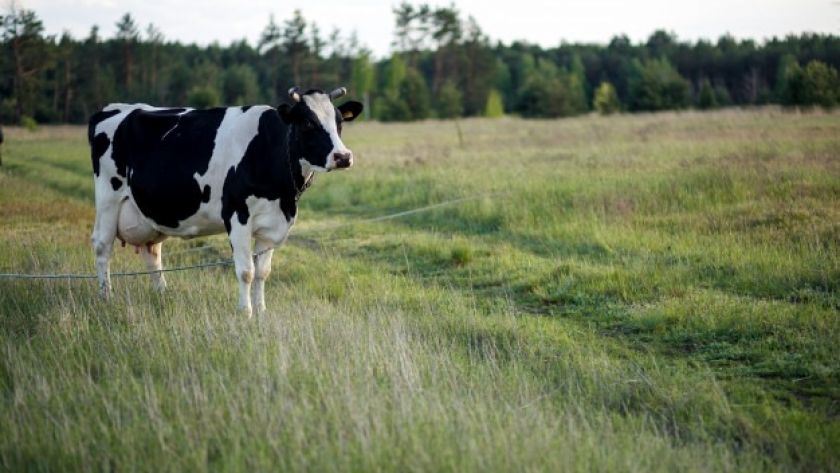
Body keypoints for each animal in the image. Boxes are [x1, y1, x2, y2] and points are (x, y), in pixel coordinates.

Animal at [88, 87, 363, 316]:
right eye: (308, 122)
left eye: (339, 122)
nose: (343, 156)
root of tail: (113, 108)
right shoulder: (237, 214)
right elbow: (246, 271)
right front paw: (245, 313)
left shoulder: (272, 223)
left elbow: (263, 273)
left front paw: (261, 311)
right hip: (108, 197)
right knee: (102, 246)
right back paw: (105, 297)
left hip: (149, 213)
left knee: (152, 252)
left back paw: (162, 295)